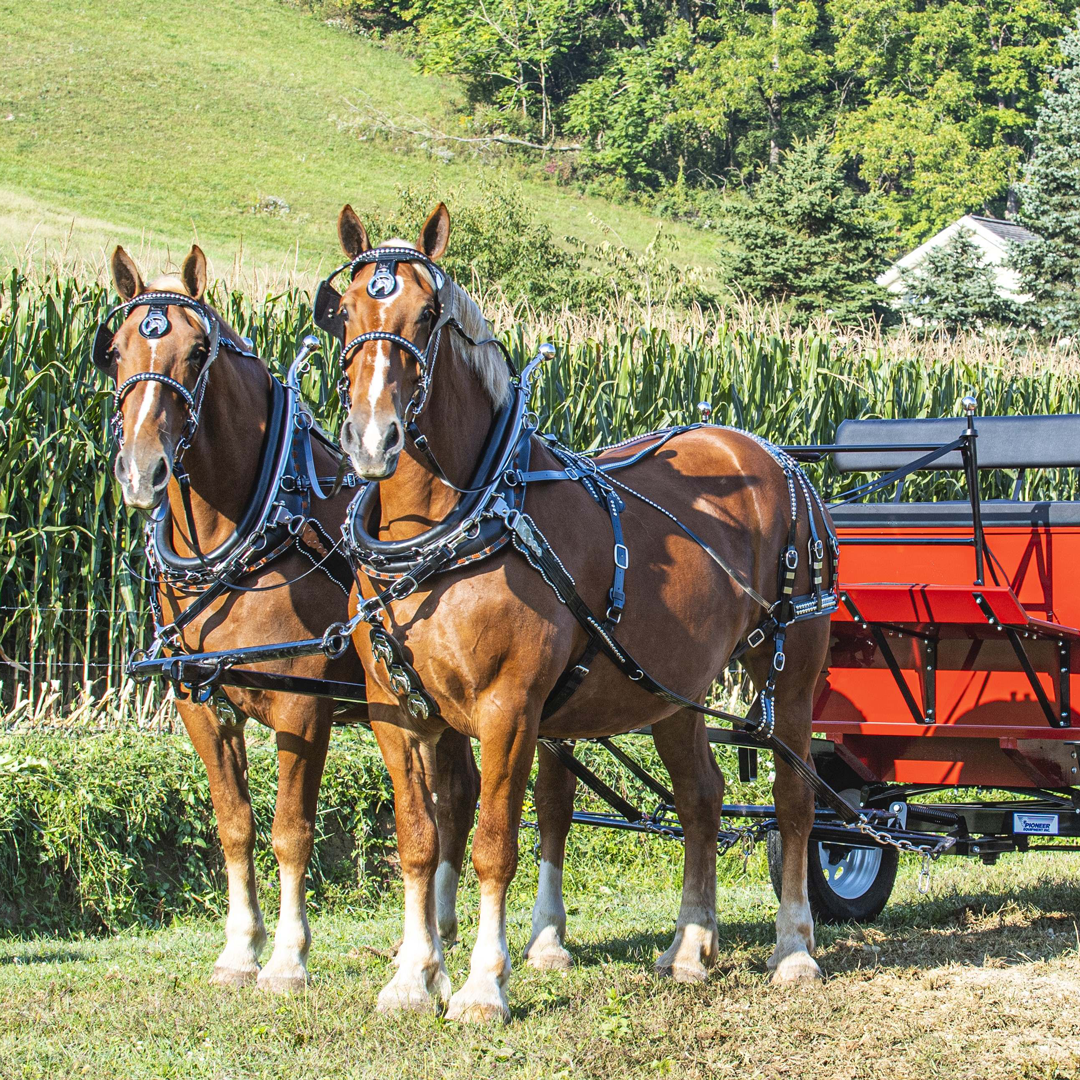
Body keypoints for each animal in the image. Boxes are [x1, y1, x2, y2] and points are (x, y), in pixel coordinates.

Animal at [95, 248, 479, 989]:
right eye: (117, 350)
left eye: (197, 352)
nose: (142, 470)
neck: (243, 537)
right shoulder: (200, 704)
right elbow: (235, 825)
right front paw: (239, 949)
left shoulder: (302, 709)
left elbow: (291, 830)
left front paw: (287, 959)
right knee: (454, 795)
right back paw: (432, 938)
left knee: (457, 798)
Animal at [324, 203, 838, 1019]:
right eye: (343, 311)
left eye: (429, 313)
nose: (373, 438)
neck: (451, 533)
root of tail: (768, 452)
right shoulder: (396, 710)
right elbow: (419, 839)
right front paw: (411, 978)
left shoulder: (509, 706)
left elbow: (494, 841)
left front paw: (483, 984)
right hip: (675, 690)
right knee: (703, 797)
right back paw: (689, 947)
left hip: (789, 667)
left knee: (793, 796)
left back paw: (793, 949)